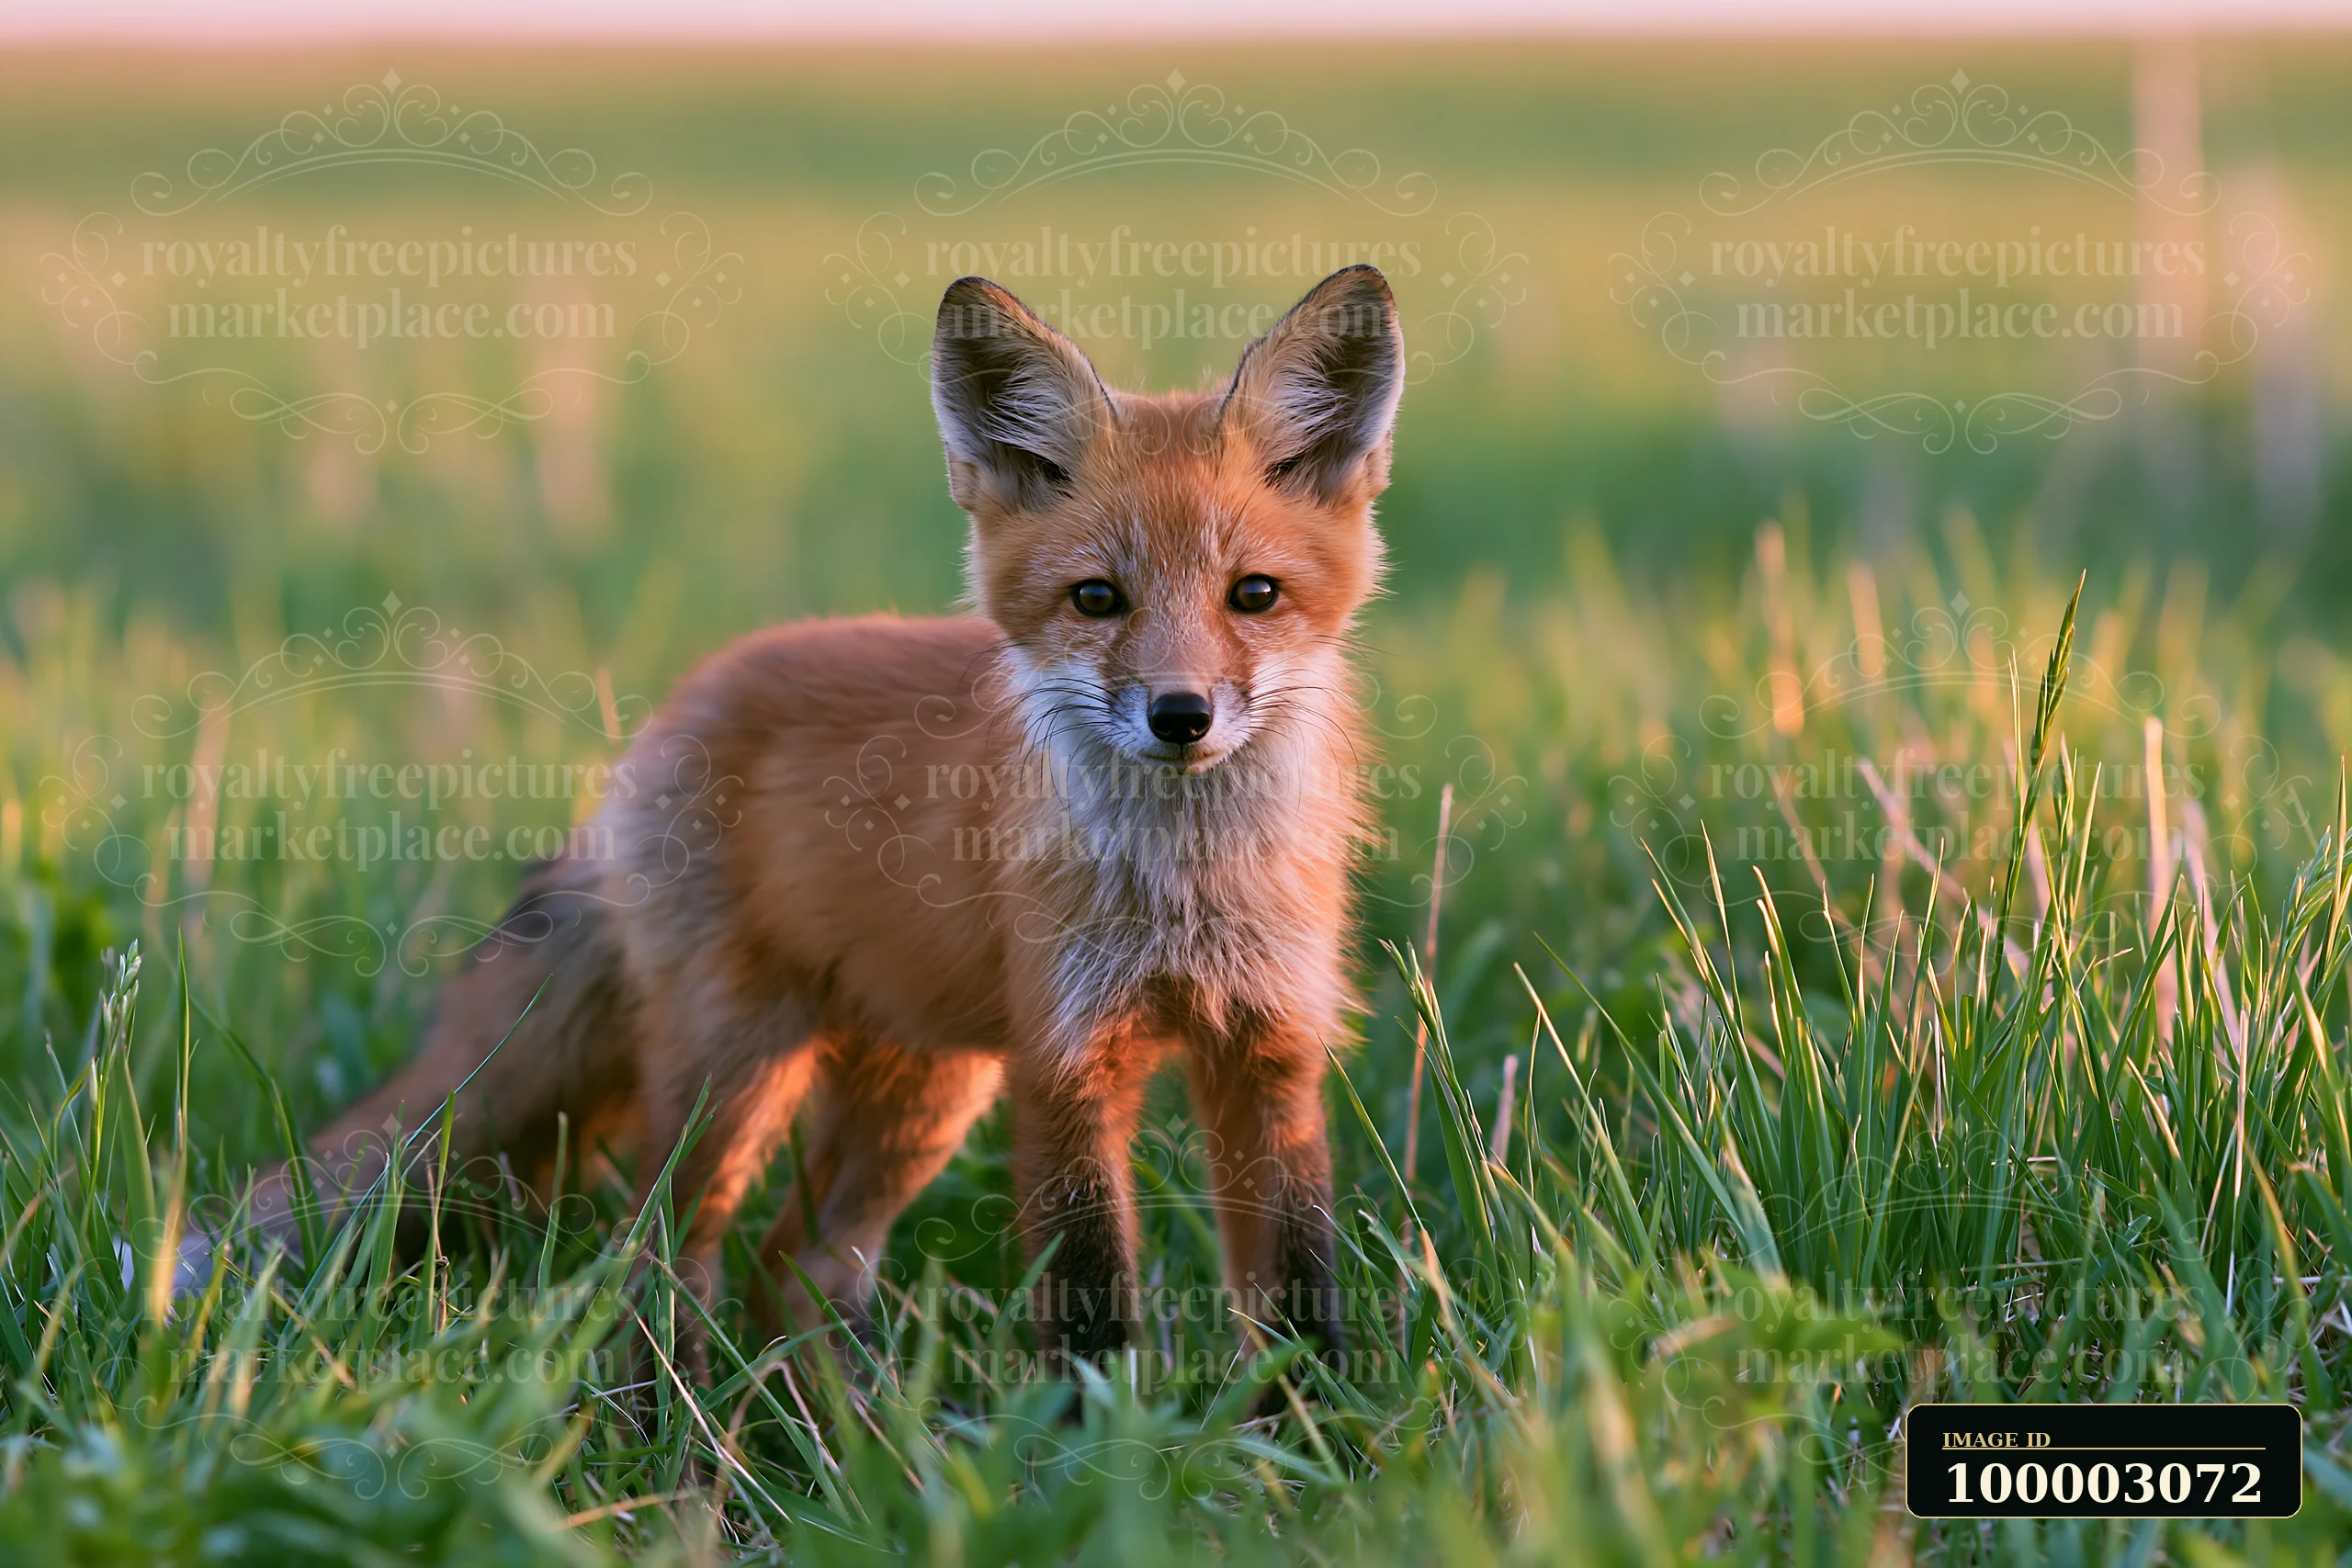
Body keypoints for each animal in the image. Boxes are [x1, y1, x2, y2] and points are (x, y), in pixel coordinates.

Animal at [249, 264, 1405, 1376]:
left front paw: (1309, 1428)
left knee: (795, 1269)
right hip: (736, 1073)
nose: (1180, 715)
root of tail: (687, 697)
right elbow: (1091, 1305)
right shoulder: (1066, 1060)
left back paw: (855, 1426)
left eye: (1253, 594)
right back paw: (676, 1426)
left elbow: (1300, 1292)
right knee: (662, 1255)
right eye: (1096, 600)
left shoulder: (1271, 1051)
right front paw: (1106, 1438)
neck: (1187, 884)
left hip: (920, 1088)